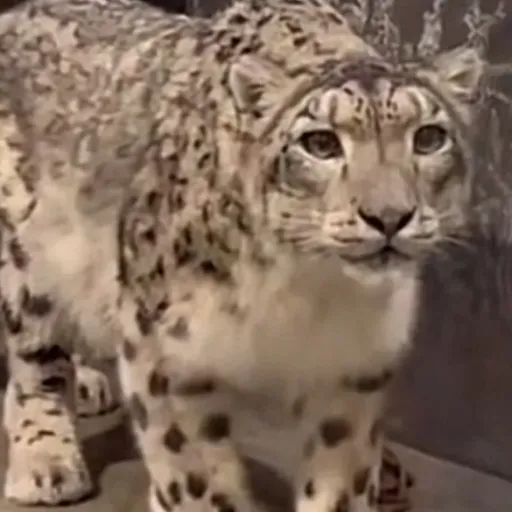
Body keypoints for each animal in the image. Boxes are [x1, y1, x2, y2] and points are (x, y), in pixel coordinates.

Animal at [0, 0, 486, 510]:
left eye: (429, 137)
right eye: (320, 143)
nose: (389, 216)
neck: (310, 291)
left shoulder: (355, 368)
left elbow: (340, 474)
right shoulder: (167, 353)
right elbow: (194, 475)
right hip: (30, 263)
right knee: (34, 361)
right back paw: (47, 461)